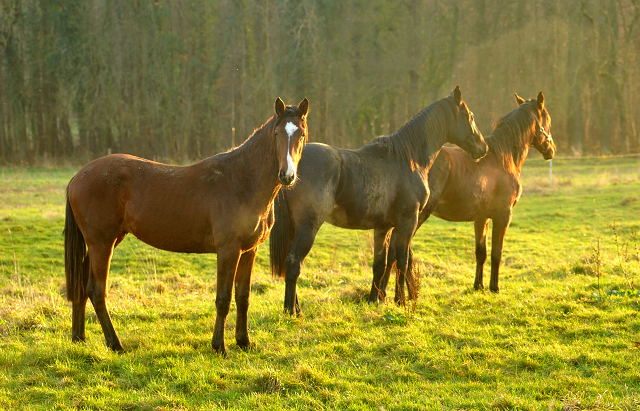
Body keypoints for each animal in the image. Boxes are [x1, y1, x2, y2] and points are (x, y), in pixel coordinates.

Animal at [63, 97, 308, 358]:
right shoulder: (228, 250)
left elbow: (243, 296)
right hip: (102, 244)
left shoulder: (249, 250)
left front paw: (244, 342)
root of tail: (78, 176)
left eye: (301, 134)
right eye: (276, 133)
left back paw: (79, 338)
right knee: (97, 291)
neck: (241, 181)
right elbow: (223, 299)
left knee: (81, 285)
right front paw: (219, 347)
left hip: (103, 242)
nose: (287, 175)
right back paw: (115, 344)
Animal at [268, 87, 488, 316]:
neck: (407, 159)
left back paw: (296, 308)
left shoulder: (383, 228)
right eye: (470, 116)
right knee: (294, 262)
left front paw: (374, 300)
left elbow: (380, 265)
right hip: (308, 227)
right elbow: (402, 261)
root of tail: (289, 170)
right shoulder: (407, 222)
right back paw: (291, 311)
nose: (483, 148)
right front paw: (401, 301)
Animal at [380, 91, 556, 300]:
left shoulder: (481, 218)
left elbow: (481, 253)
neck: (503, 158)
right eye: (548, 121)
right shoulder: (503, 216)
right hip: (415, 217)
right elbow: (496, 253)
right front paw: (494, 287)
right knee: (396, 250)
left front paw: (478, 286)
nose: (552, 150)